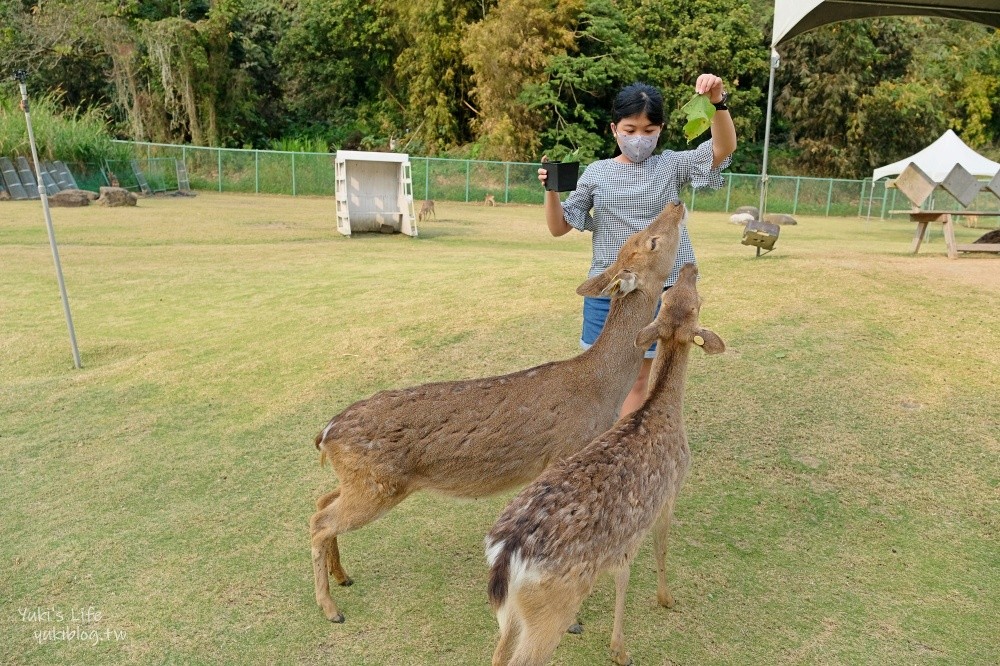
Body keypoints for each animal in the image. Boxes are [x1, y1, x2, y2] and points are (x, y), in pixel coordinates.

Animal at [488, 264, 724, 664]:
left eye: (677, 299)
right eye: (697, 302)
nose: (690, 268)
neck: (662, 410)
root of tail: (506, 553)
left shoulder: (624, 538)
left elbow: (623, 575)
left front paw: (619, 645)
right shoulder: (670, 493)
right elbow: (661, 547)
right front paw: (665, 601)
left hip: (513, 613)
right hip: (550, 607)